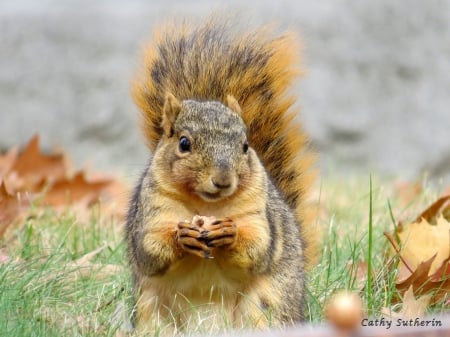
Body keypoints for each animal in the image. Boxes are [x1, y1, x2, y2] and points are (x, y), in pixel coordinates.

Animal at [125, 16, 316, 334]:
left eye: (245, 146)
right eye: (184, 143)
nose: (223, 180)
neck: (207, 204)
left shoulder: (258, 212)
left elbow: (258, 247)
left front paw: (230, 233)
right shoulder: (152, 211)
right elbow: (150, 250)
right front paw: (182, 236)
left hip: (266, 304)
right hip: (153, 309)